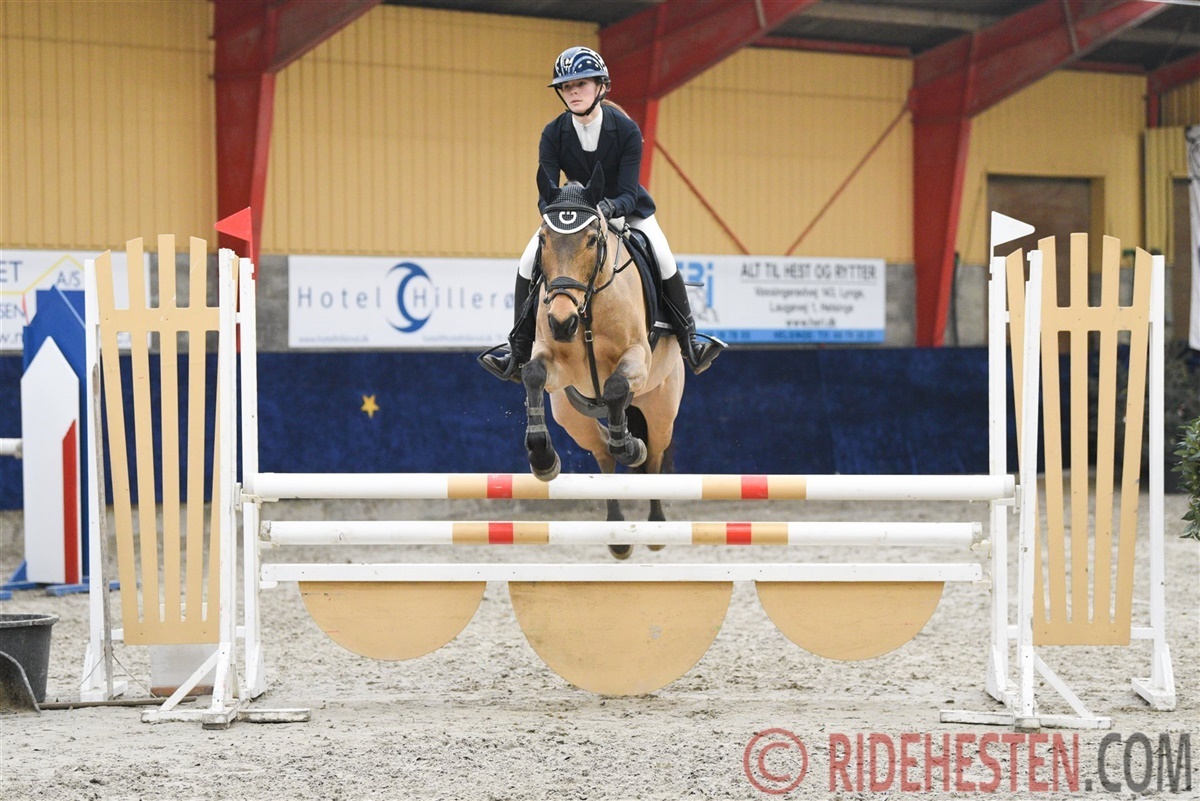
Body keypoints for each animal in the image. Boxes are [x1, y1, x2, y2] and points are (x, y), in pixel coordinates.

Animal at [522, 165, 685, 559]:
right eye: (543, 240)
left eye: (592, 240)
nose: (561, 322)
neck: (587, 307)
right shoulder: (557, 365)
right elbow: (532, 373)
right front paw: (542, 459)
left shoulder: (637, 357)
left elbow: (613, 389)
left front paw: (629, 445)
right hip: (572, 417)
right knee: (603, 458)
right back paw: (618, 536)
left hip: (661, 407)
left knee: (654, 456)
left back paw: (656, 526)